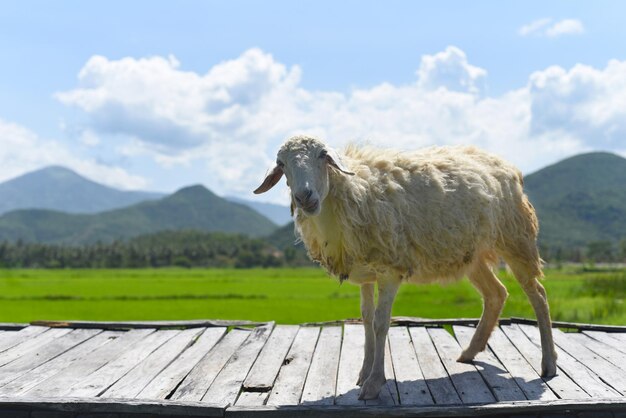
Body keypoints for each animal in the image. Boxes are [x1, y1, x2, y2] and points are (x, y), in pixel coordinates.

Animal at [254, 136, 556, 400]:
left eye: (323, 155)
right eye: (281, 164)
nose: (304, 197)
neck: (352, 192)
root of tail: (506, 165)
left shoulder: (390, 269)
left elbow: (380, 323)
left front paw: (374, 383)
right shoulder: (364, 271)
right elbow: (365, 319)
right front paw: (364, 373)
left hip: (515, 237)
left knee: (538, 294)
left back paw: (549, 364)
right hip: (472, 254)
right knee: (496, 293)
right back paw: (470, 352)